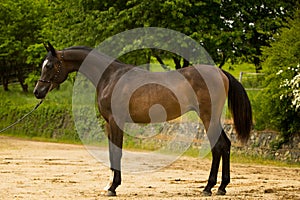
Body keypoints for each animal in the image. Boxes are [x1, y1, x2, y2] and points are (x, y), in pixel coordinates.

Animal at [34, 42, 252, 197]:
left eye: (50, 65)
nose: (38, 92)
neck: (110, 77)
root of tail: (220, 72)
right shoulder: (109, 123)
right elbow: (112, 152)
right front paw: (109, 184)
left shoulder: (116, 121)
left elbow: (117, 152)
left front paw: (113, 187)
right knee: (225, 145)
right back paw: (221, 187)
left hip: (208, 117)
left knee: (218, 147)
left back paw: (208, 188)